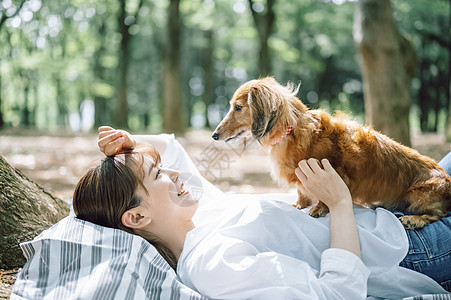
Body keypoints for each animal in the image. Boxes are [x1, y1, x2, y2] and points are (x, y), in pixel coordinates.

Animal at [212, 76, 451, 229]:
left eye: (238, 107)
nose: (214, 135)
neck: (293, 132)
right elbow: (302, 191)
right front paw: (299, 204)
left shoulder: (337, 174)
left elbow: (325, 197)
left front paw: (319, 208)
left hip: (421, 194)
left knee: (438, 214)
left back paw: (413, 219)